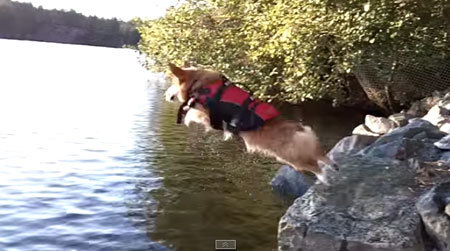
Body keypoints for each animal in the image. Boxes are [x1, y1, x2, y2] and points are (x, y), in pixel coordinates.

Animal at [164, 63, 334, 183]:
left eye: (172, 85)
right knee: (322, 157)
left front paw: (187, 118)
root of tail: (300, 128)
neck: (199, 83)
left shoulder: (206, 112)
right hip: (300, 155)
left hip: (294, 158)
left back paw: (325, 178)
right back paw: (333, 166)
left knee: (315, 165)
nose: (165, 95)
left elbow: (192, 112)